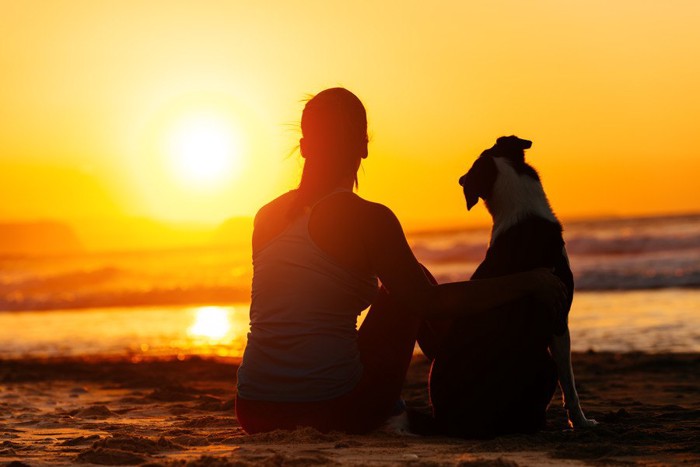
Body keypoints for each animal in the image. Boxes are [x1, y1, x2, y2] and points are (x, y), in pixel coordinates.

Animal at [426, 135, 596, 438]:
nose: (459, 179)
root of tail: (445, 421)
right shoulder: (558, 317)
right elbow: (570, 385)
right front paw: (581, 421)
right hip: (544, 363)